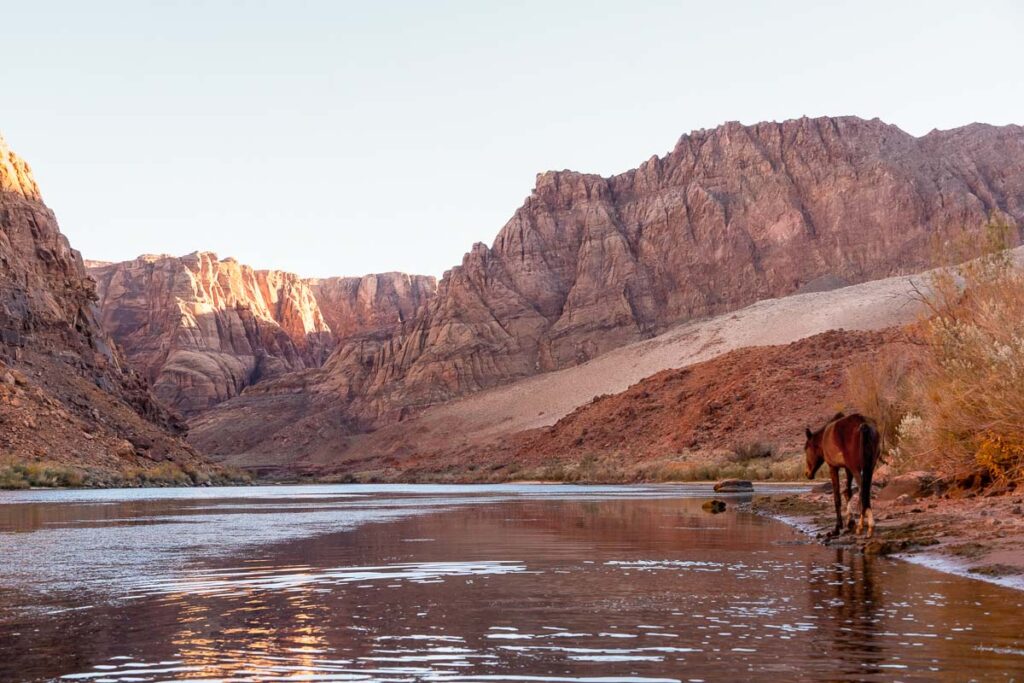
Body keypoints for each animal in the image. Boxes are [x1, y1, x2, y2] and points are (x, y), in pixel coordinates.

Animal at [806, 411, 880, 540]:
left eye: (806, 448)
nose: (807, 473)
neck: (824, 437)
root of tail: (863, 424)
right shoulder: (847, 468)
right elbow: (848, 492)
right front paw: (850, 522)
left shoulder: (833, 467)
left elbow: (837, 497)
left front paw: (837, 527)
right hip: (869, 468)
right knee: (866, 491)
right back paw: (866, 525)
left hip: (857, 469)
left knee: (862, 491)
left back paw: (864, 526)